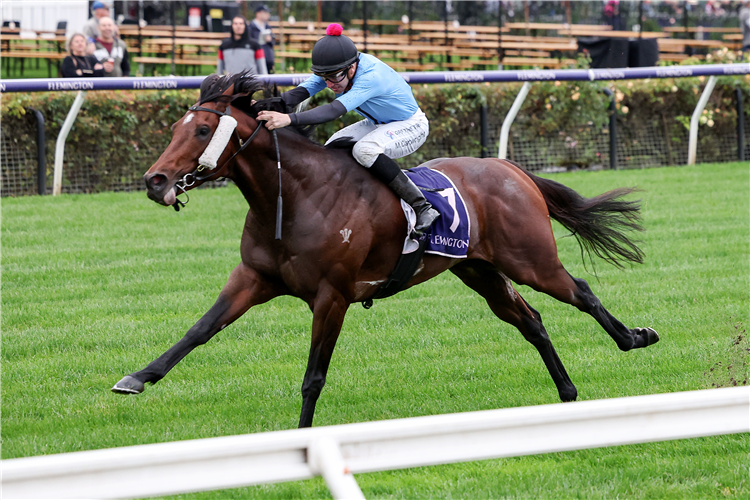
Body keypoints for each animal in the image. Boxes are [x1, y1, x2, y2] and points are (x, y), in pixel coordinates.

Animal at [111, 72, 656, 428]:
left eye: (203, 130)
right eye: (176, 129)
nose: (154, 180)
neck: (295, 196)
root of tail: (509, 168)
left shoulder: (332, 296)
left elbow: (313, 376)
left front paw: (303, 436)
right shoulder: (253, 278)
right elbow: (199, 330)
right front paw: (136, 378)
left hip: (529, 259)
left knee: (580, 292)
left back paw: (634, 338)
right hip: (479, 270)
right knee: (532, 321)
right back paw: (567, 393)